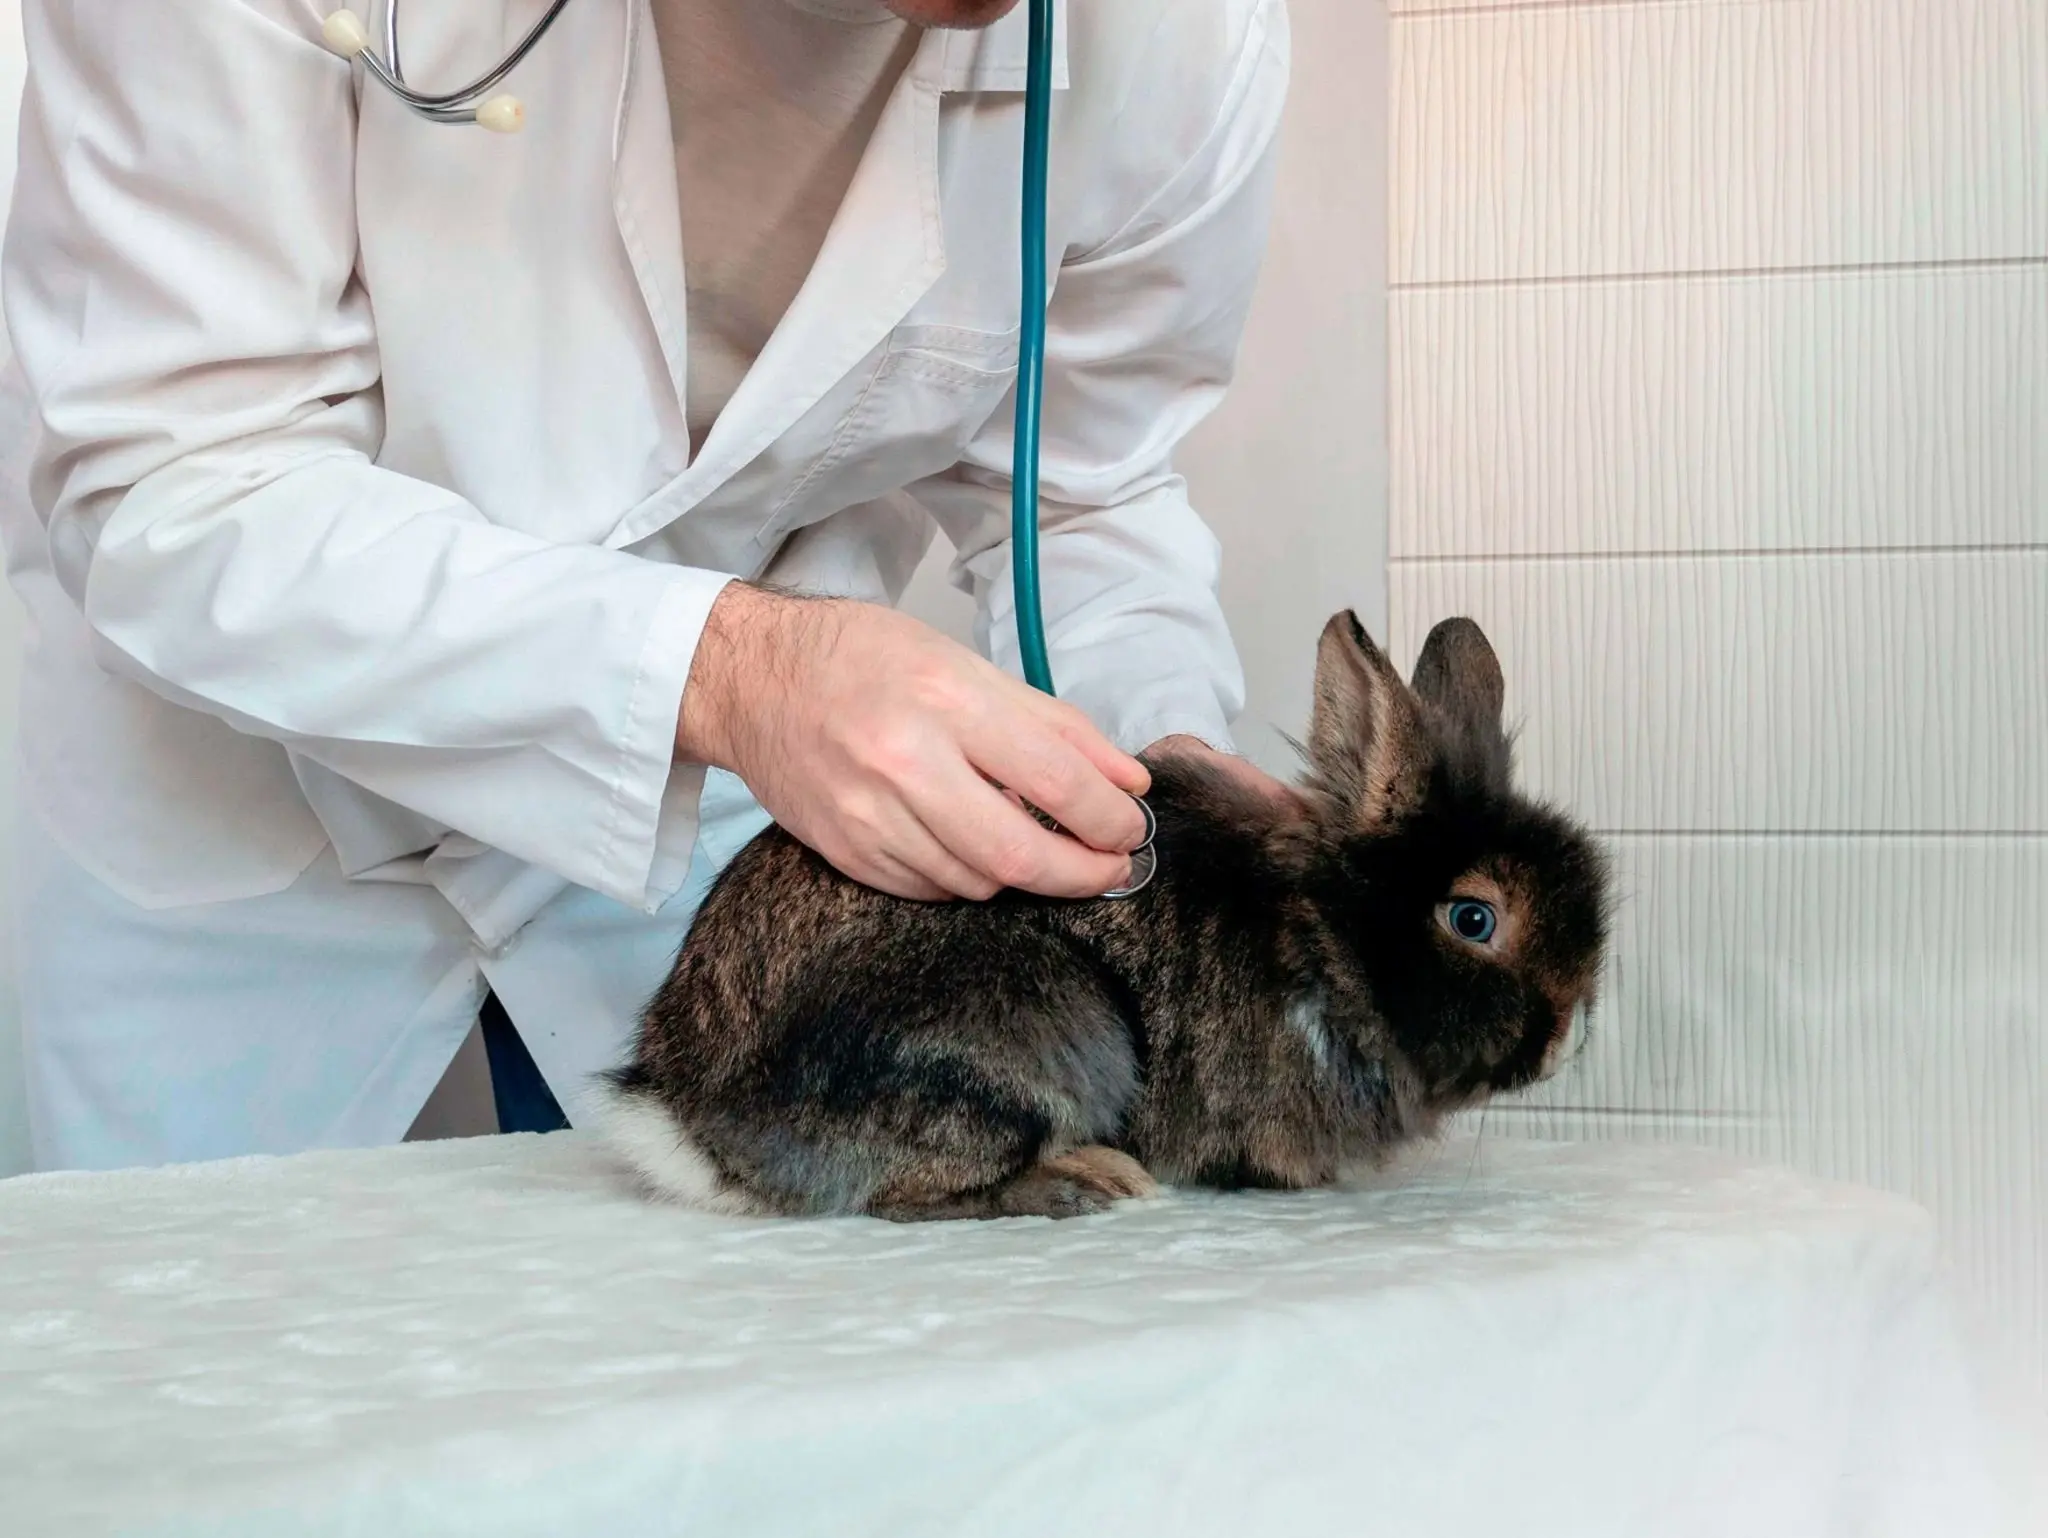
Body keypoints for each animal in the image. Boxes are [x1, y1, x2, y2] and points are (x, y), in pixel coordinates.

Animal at [601, 611, 1611, 1221]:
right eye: (1473, 919)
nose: (1568, 1038)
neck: (1322, 938)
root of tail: (689, 1118)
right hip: (1028, 1033)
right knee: (911, 1193)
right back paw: (1090, 1181)